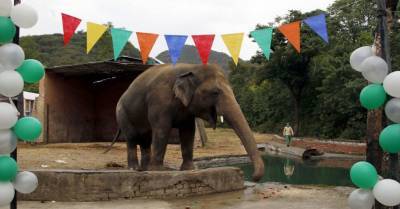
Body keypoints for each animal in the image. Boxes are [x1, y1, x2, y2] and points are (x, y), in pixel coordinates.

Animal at [108, 63, 264, 181]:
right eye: (215, 92)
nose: (253, 177)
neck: (191, 67)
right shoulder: (159, 100)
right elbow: (162, 129)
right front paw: (160, 170)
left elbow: (188, 131)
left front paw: (190, 169)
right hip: (122, 113)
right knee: (132, 137)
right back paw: (135, 168)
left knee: (145, 139)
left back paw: (144, 169)